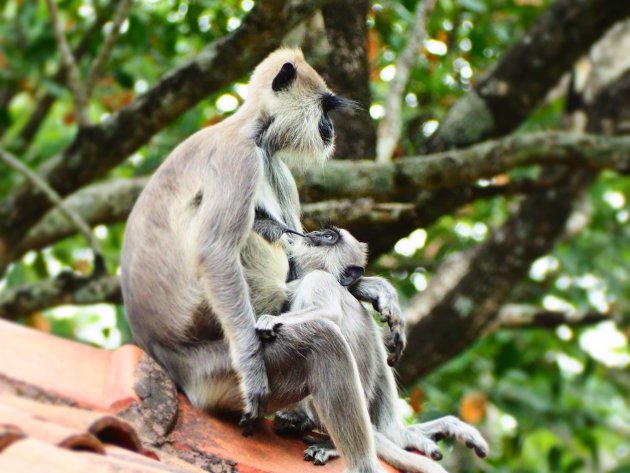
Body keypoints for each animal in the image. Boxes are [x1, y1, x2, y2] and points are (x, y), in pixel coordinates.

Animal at [123, 48, 404, 472]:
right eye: (324, 108)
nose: (329, 128)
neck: (252, 130)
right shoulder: (241, 156)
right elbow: (216, 252)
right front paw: (254, 371)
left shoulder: (274, 165)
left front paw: (373, 288)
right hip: (216, 373)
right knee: (322, 340)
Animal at [256, 225, 488, 472]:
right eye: (324, 232)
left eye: (329, 237)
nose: (314, 234)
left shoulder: (320, 279)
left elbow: (327, 312)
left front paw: (268, 320)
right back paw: (397, 435)